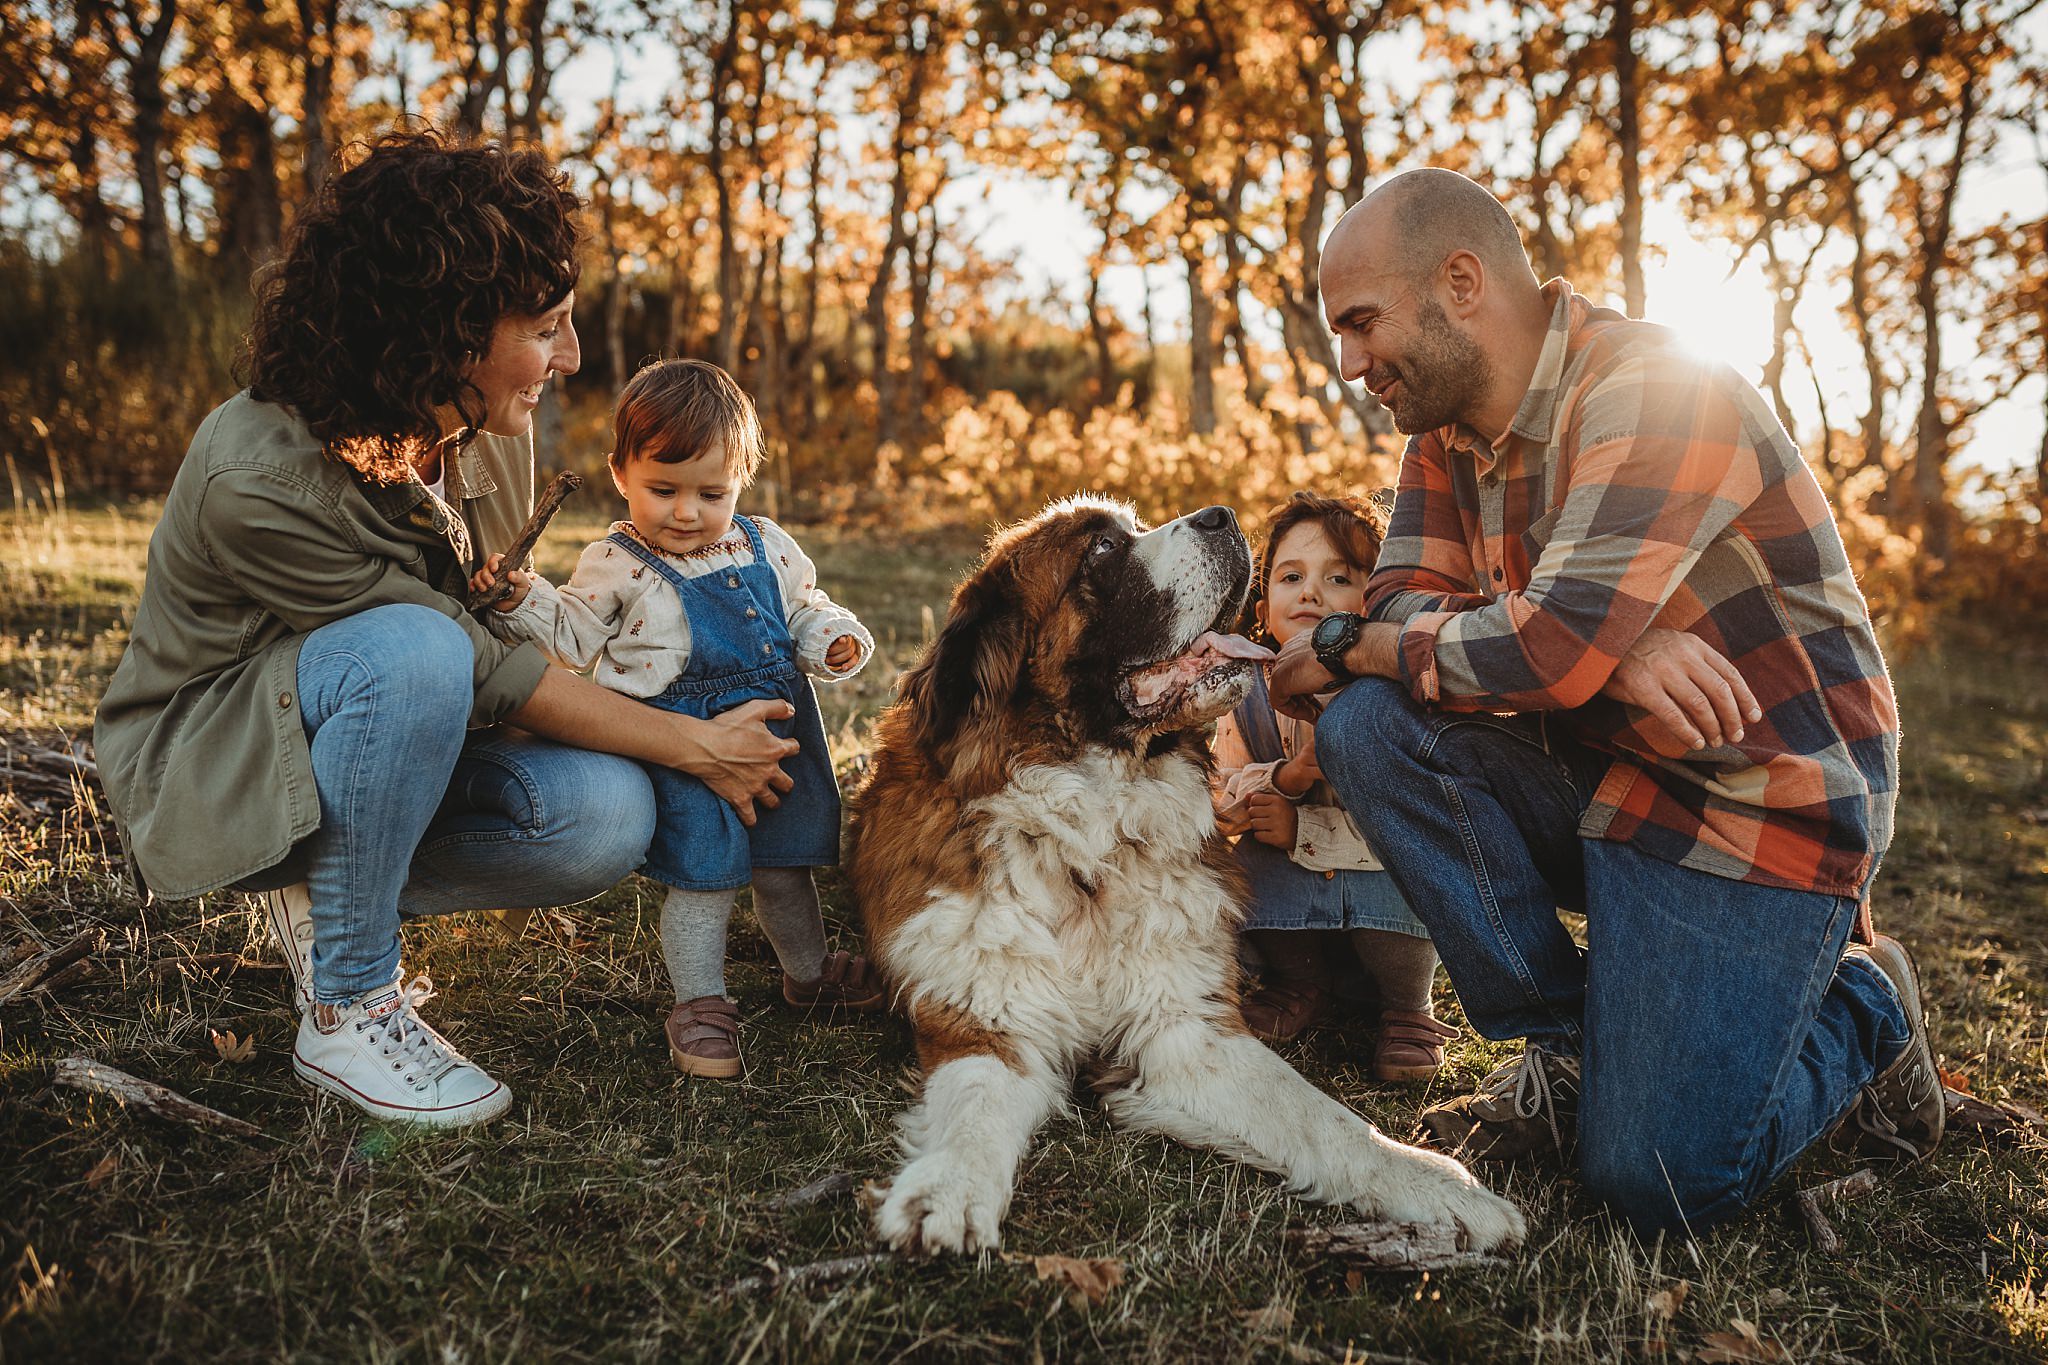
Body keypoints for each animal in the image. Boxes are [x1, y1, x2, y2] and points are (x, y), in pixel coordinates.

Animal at [847, 497, 1523, 1252]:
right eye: (1101, 549)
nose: (1221, 515)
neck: (1090, 837)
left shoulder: (1187, 1030)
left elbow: (1323, 1117)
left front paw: (1440, 1185)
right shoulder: (986, 1015)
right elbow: (974, 1101)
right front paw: (947, 1189)